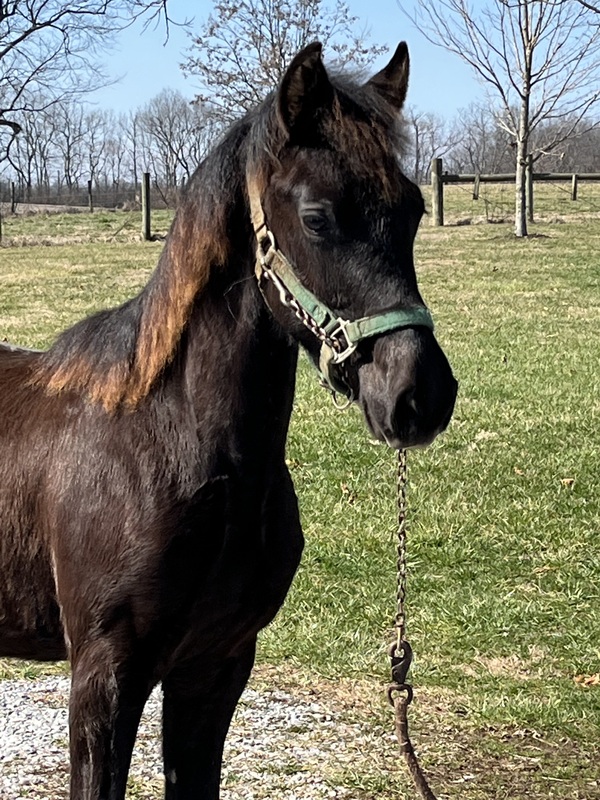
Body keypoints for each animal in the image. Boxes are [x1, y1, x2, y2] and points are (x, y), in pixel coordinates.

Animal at [0, 42, 454, 800]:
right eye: (318, 216)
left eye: (415, 209)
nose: (420, 395)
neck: (170, 445)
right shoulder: (103, 676)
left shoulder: (216, 667)